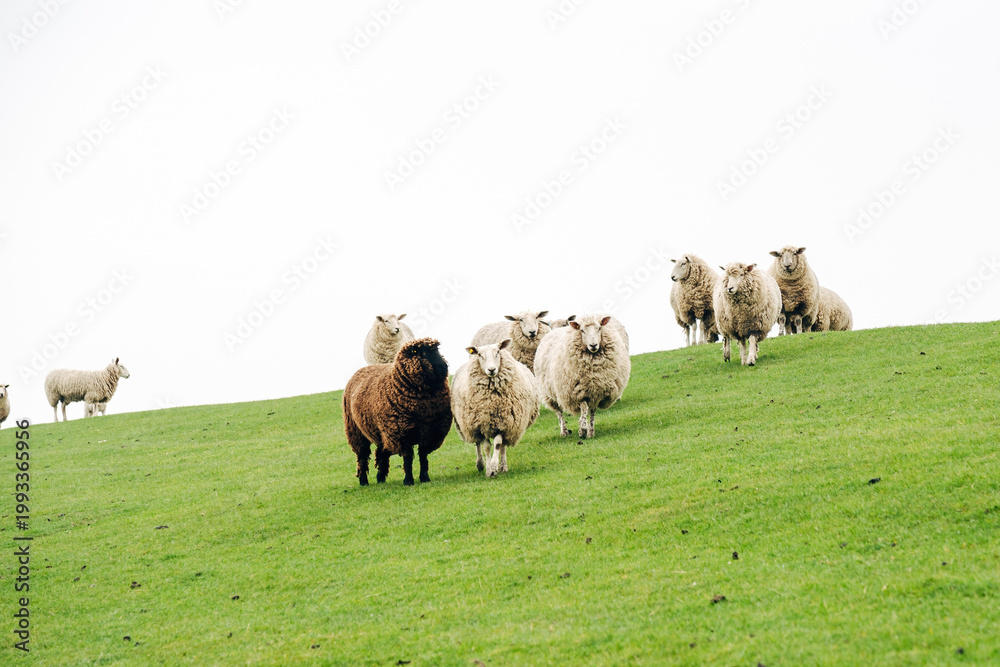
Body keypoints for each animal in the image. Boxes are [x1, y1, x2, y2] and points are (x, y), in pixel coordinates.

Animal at [342, 338, 452, 486]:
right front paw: (409, 480)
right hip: (356, 431)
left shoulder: (430, 431)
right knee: (362, 456)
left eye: (437, 350)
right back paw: (363, 480)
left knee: (381, 452)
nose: (444, 367)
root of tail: (360, 370)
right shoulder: (401, 433)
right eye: (424, 352)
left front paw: (424, 477)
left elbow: (423, 455)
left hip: (382, 432)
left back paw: (381, 478)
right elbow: (408, 458)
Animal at [451, 339, 540, 477]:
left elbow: (498, 444)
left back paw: (503, 466)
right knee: (477, 443)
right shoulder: (482, 424)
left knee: (502, 445)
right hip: (471, 423)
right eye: (480, 355)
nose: (491, 369)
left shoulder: (503, 423)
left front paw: (494, 467)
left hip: (508, 426)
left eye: (498, 352)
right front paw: (488, 469)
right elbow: (486, 447)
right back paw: (480, 464)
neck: (492, 399)